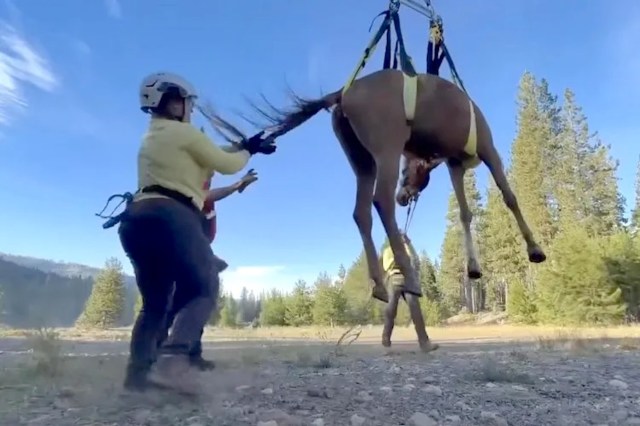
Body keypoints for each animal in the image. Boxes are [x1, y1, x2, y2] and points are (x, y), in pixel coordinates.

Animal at [210, 68, 547, 304]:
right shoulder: (489, 151)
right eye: (405, 170)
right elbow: (509, 196)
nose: (403, 197)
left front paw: (474, 267)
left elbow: (465, 214)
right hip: (386, 150)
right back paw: (409, 277)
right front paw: (534, 249)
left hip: (363, 163)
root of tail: (342, 93)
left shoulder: (455, 166)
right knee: (380, 202)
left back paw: (379, 284)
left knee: (361, 212)